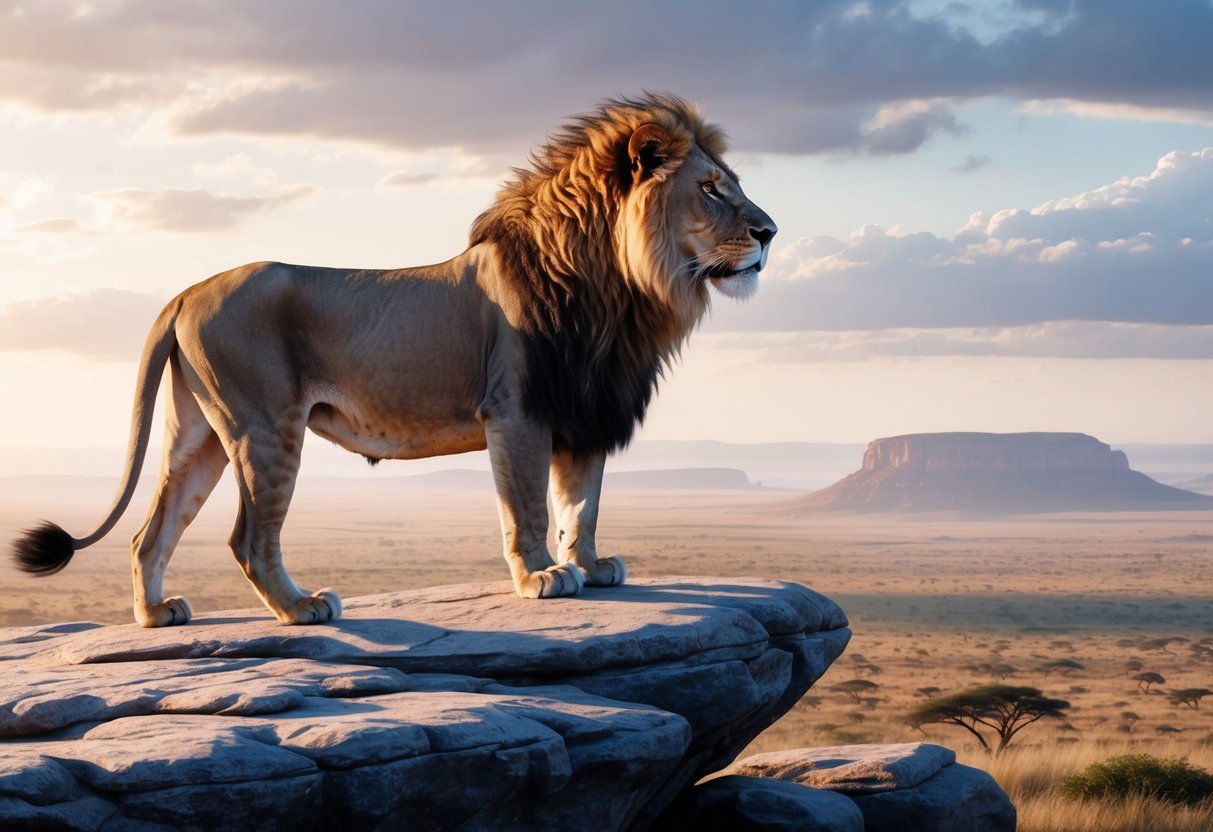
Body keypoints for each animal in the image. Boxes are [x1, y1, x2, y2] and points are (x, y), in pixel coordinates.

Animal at [12, 93, 777, 627]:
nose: (770, 230)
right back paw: (303, 608)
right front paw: (542, 579)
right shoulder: (518, 410)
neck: (622, 289)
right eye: (710, 188)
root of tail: (183, 293)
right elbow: (529, 507)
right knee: (248, 539)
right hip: (265, 428)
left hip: (196, 434)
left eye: (730, 182)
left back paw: (156, 615)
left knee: (150, 532)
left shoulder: (582, 409)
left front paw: (589, 565)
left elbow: (579, 505)